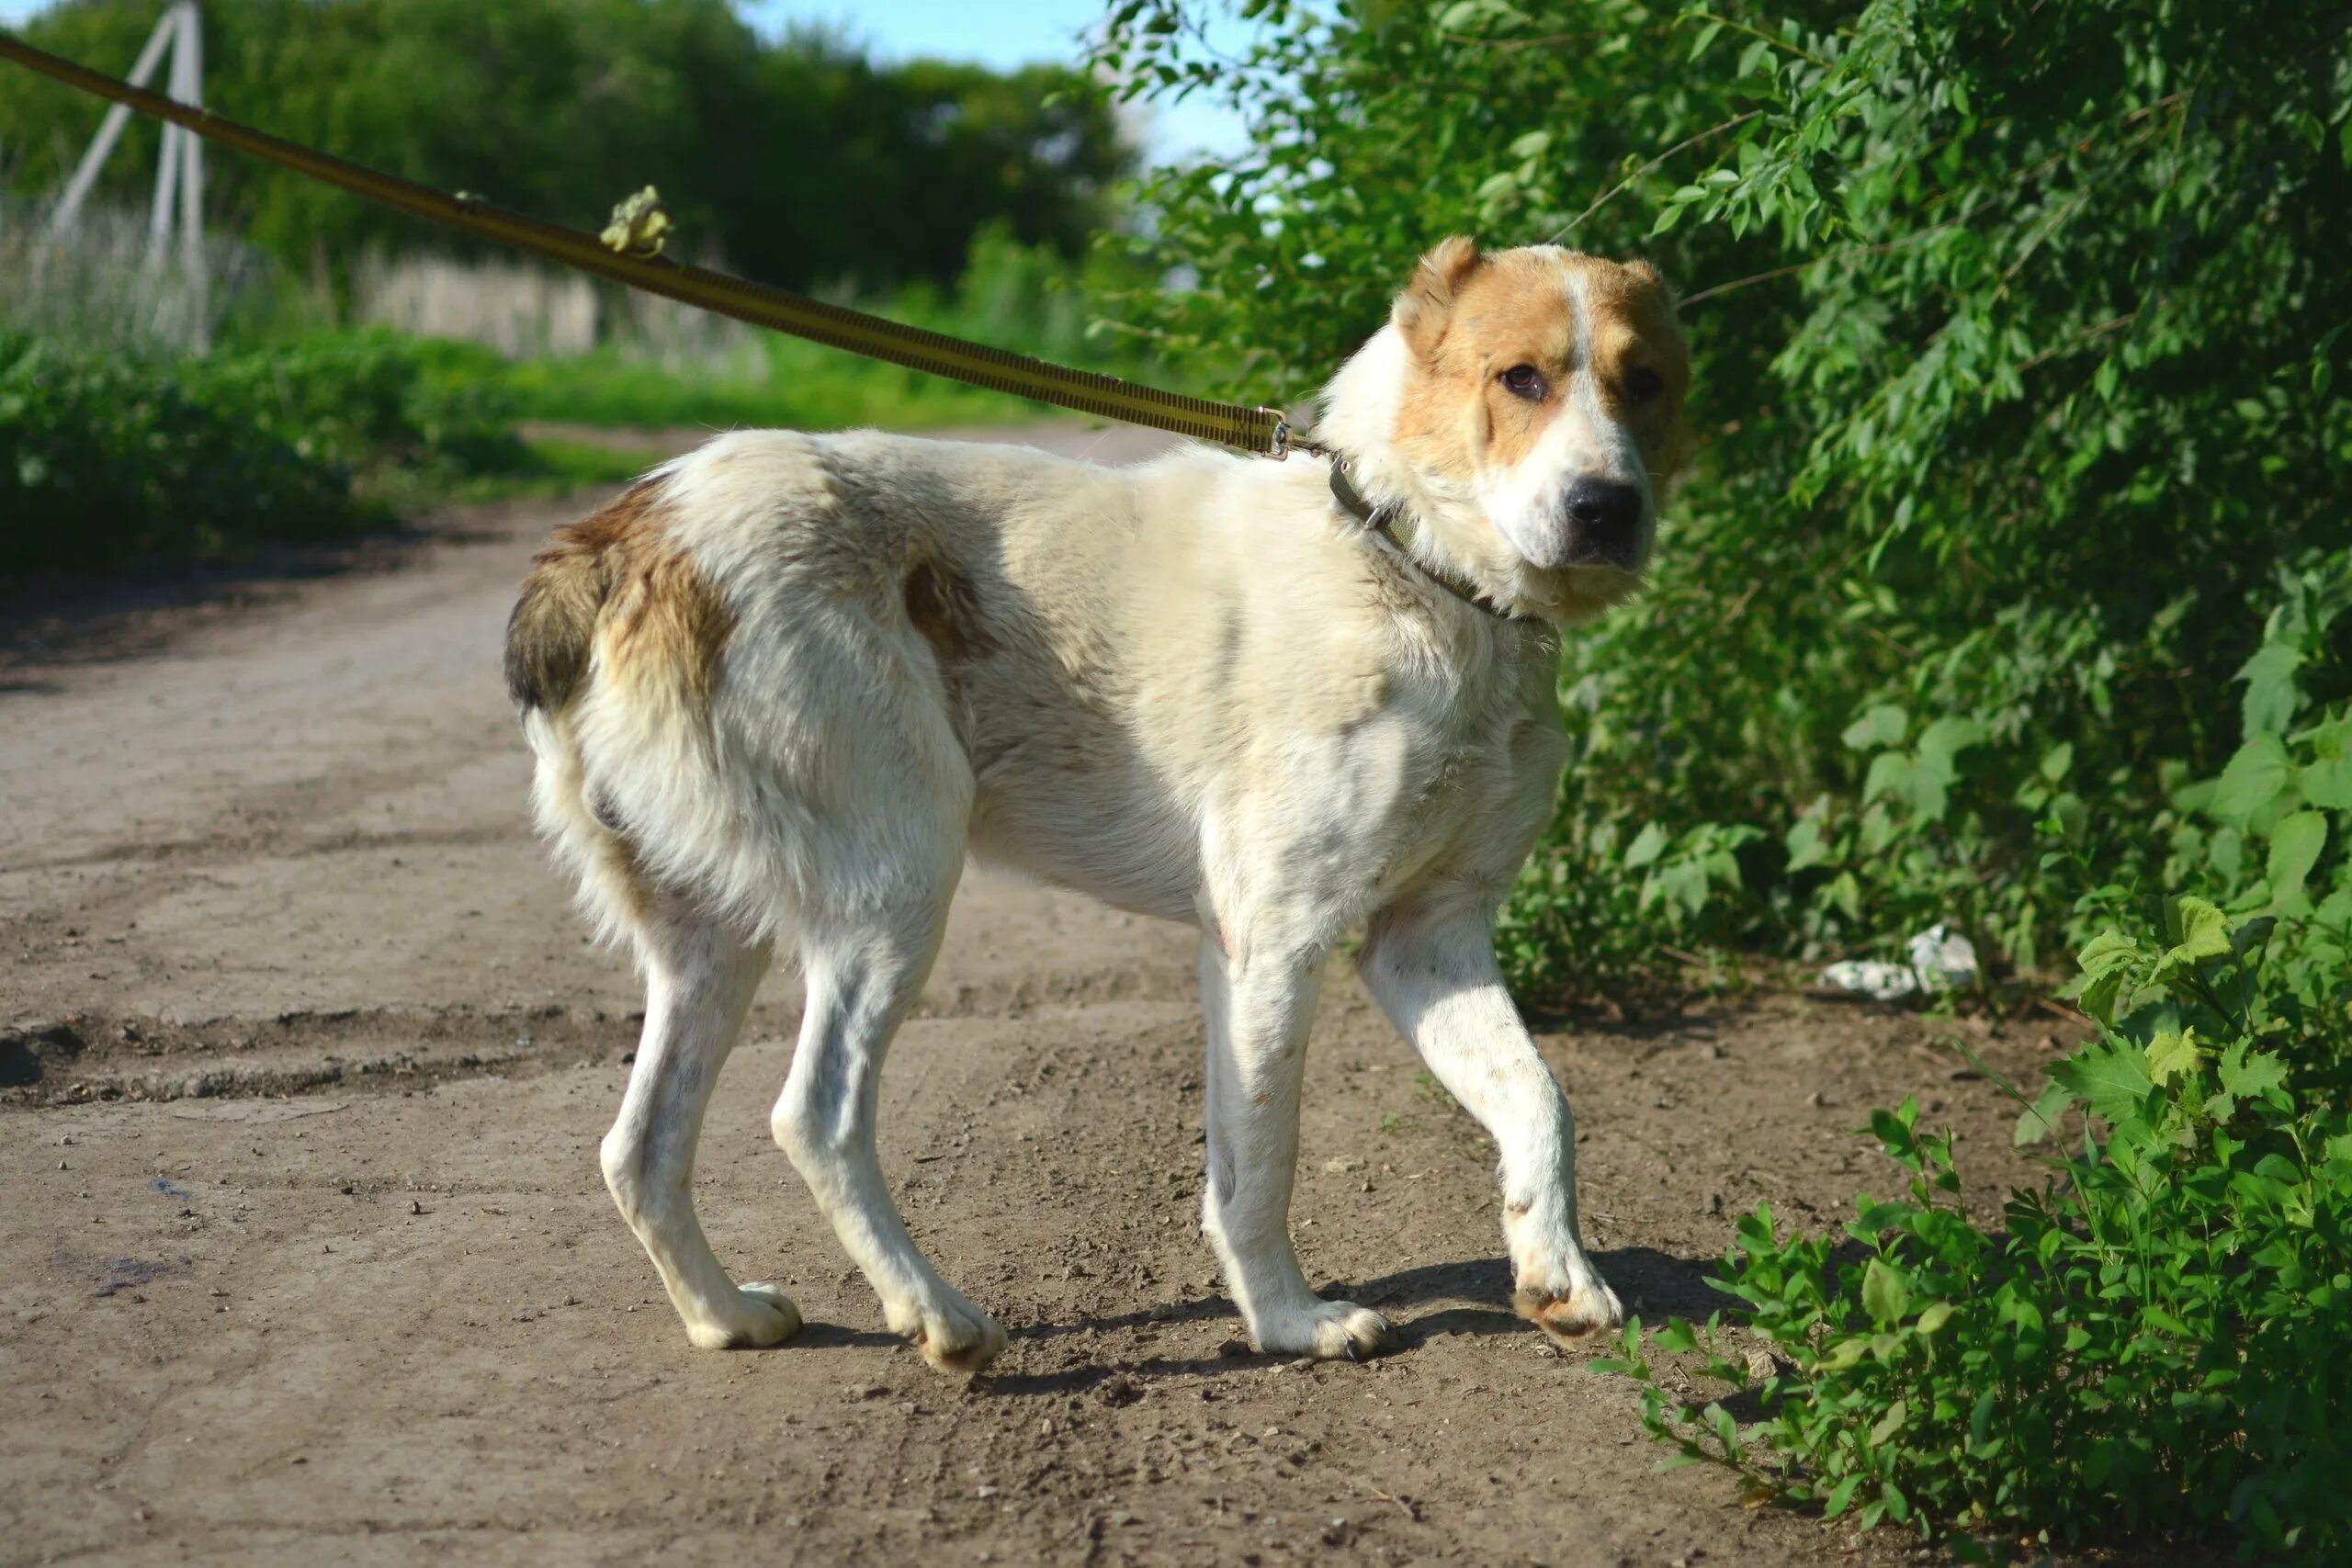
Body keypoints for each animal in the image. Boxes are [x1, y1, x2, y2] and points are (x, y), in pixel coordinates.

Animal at [510, 236, 1693, 1372]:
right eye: (1521, 378)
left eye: (1645, 383)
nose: (1607, 507)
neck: (1410, 563)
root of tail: (620, 535)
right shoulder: (1270, 942)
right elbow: (1258, 1166)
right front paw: (1289, 1323)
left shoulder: (1427, 939)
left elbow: (1540, 1099)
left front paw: (1556, 1272)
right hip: (893, 892)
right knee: (816, 1118)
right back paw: (938, 1317)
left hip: (711, 943)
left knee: (640, 1150)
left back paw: (725, 1316)